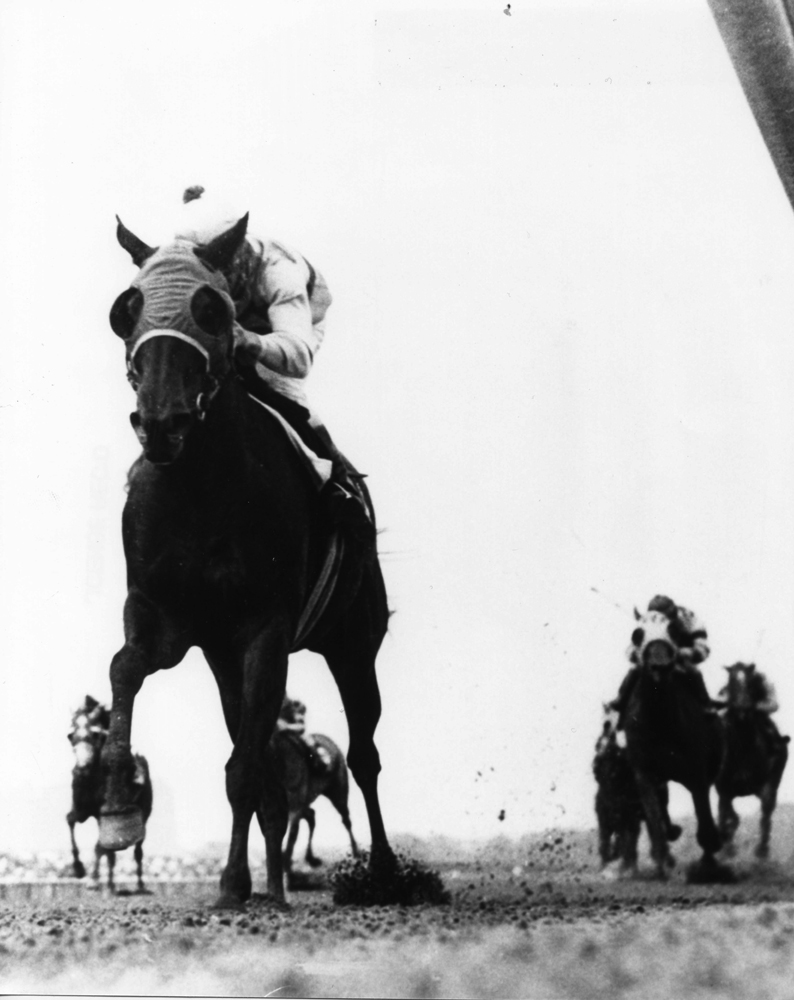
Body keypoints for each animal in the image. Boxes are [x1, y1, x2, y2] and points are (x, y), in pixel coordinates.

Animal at [66, 696, 152, 892]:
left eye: (95, 734)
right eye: (72, 736)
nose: (81, 770)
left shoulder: (106, 812)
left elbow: (103, 846)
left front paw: (93, 879)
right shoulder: (81, 809)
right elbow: (71, 820)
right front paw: (79, 869)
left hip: (143, 815)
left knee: (137, 850)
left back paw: (139, 885)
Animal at [274, 728, 358, 884]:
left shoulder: (295, 810)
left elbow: (290, 840)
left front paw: (288, 874)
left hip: (338, 795)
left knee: (346, 821)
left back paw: (356, 853)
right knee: (311, 816)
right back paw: (310, 857)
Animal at [620, 612, 728, 880]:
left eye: (674, 630)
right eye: (637, 633)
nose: (660, 665)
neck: (660, 721)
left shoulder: (696, 771)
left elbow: (704, 817)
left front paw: (710, 862)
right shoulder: (644, 772)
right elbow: (654, 816)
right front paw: (663, 865)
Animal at [716, 664, 784, 860]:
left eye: (749, 684)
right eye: (731, 683)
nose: (742, 709)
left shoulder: (767, 786)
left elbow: (765, 815)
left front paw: (762, 850)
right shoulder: (724, 788)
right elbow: (726, 812)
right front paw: (728, 847)